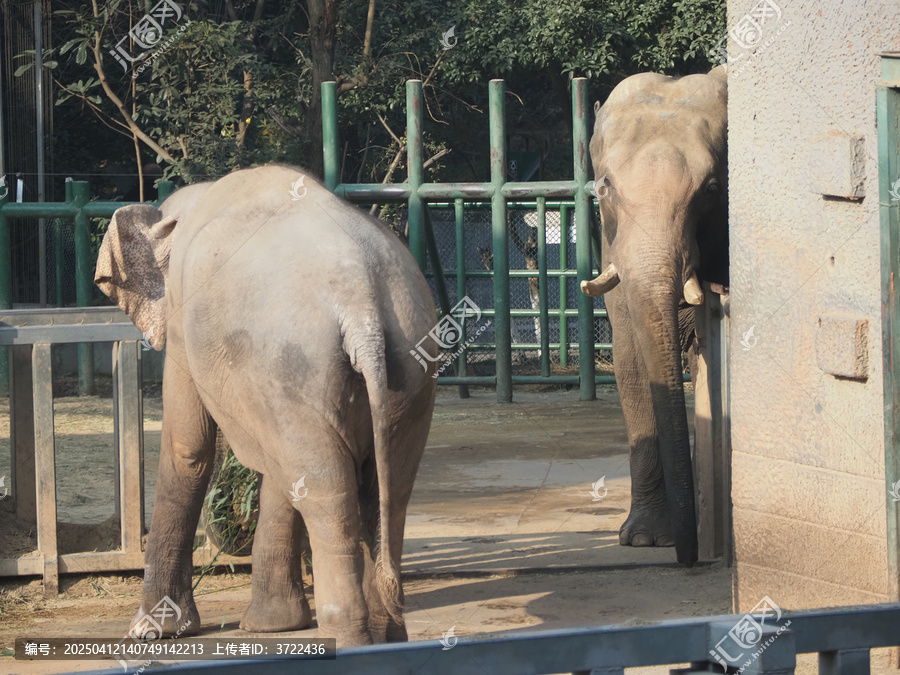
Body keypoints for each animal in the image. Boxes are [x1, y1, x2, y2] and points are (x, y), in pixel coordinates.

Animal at [94, 164, 438, 646]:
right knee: (385, 489)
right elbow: (280, 472)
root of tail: (362, 306)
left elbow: (188, 448)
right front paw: (274, 625)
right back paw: (387, 637)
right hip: (406, 367)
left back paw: (348, 640)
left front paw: (149, 631)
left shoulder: (183, 319)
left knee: (328, 489)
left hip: (296, 360)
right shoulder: (268, 391)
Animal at [581, 66, 727, 566]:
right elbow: (631, 360)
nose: (686, 560)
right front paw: (646, 540)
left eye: (712, 191)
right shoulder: (612, 248)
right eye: (604, 187)